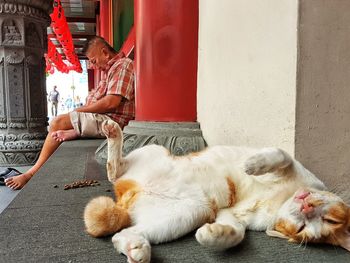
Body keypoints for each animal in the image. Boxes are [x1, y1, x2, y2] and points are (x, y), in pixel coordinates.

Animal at [83, 121, 348, 263]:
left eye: (303, 229)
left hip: (185, 214)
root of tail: (125, 196)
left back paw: (136, 248)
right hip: (153, 149)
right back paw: (113, 133)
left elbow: (236, 233)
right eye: (330, 218)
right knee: (115, 169)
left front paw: (212, 235)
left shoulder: (232, 215)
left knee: (123, 233)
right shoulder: (295, 166)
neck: (280, 199)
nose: (306, 207)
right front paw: (252, 165)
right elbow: (280, 154)